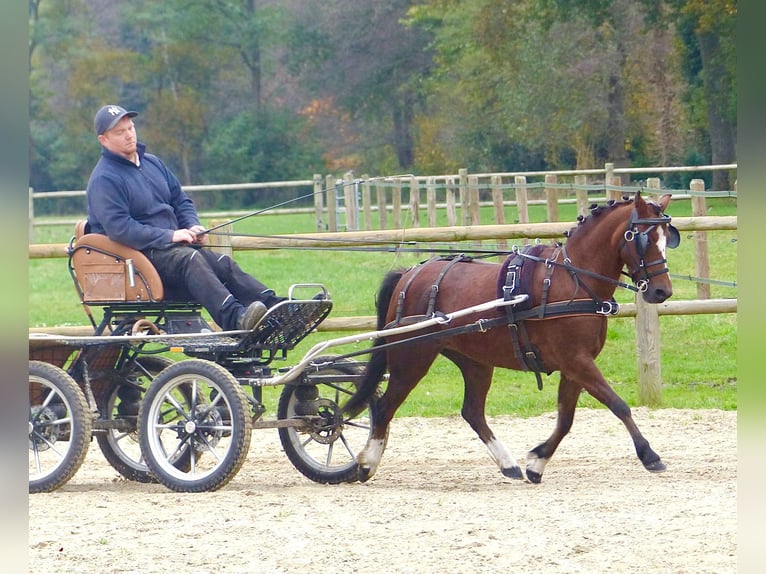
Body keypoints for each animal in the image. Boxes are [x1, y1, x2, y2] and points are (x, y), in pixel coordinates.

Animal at [344, 191, 680, 484]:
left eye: (667, 237)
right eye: (643, 238)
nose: (662, 291)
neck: (572, 280)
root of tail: (409, 275)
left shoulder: (574, 366)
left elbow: (565, 418)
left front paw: (537, 462)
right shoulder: (577, 362)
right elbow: (618, 404)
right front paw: (650, 455)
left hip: (474, 361)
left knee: (472, 412)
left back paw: (508, 464)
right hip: (412, 357)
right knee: (385, 407)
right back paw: (367, 463)